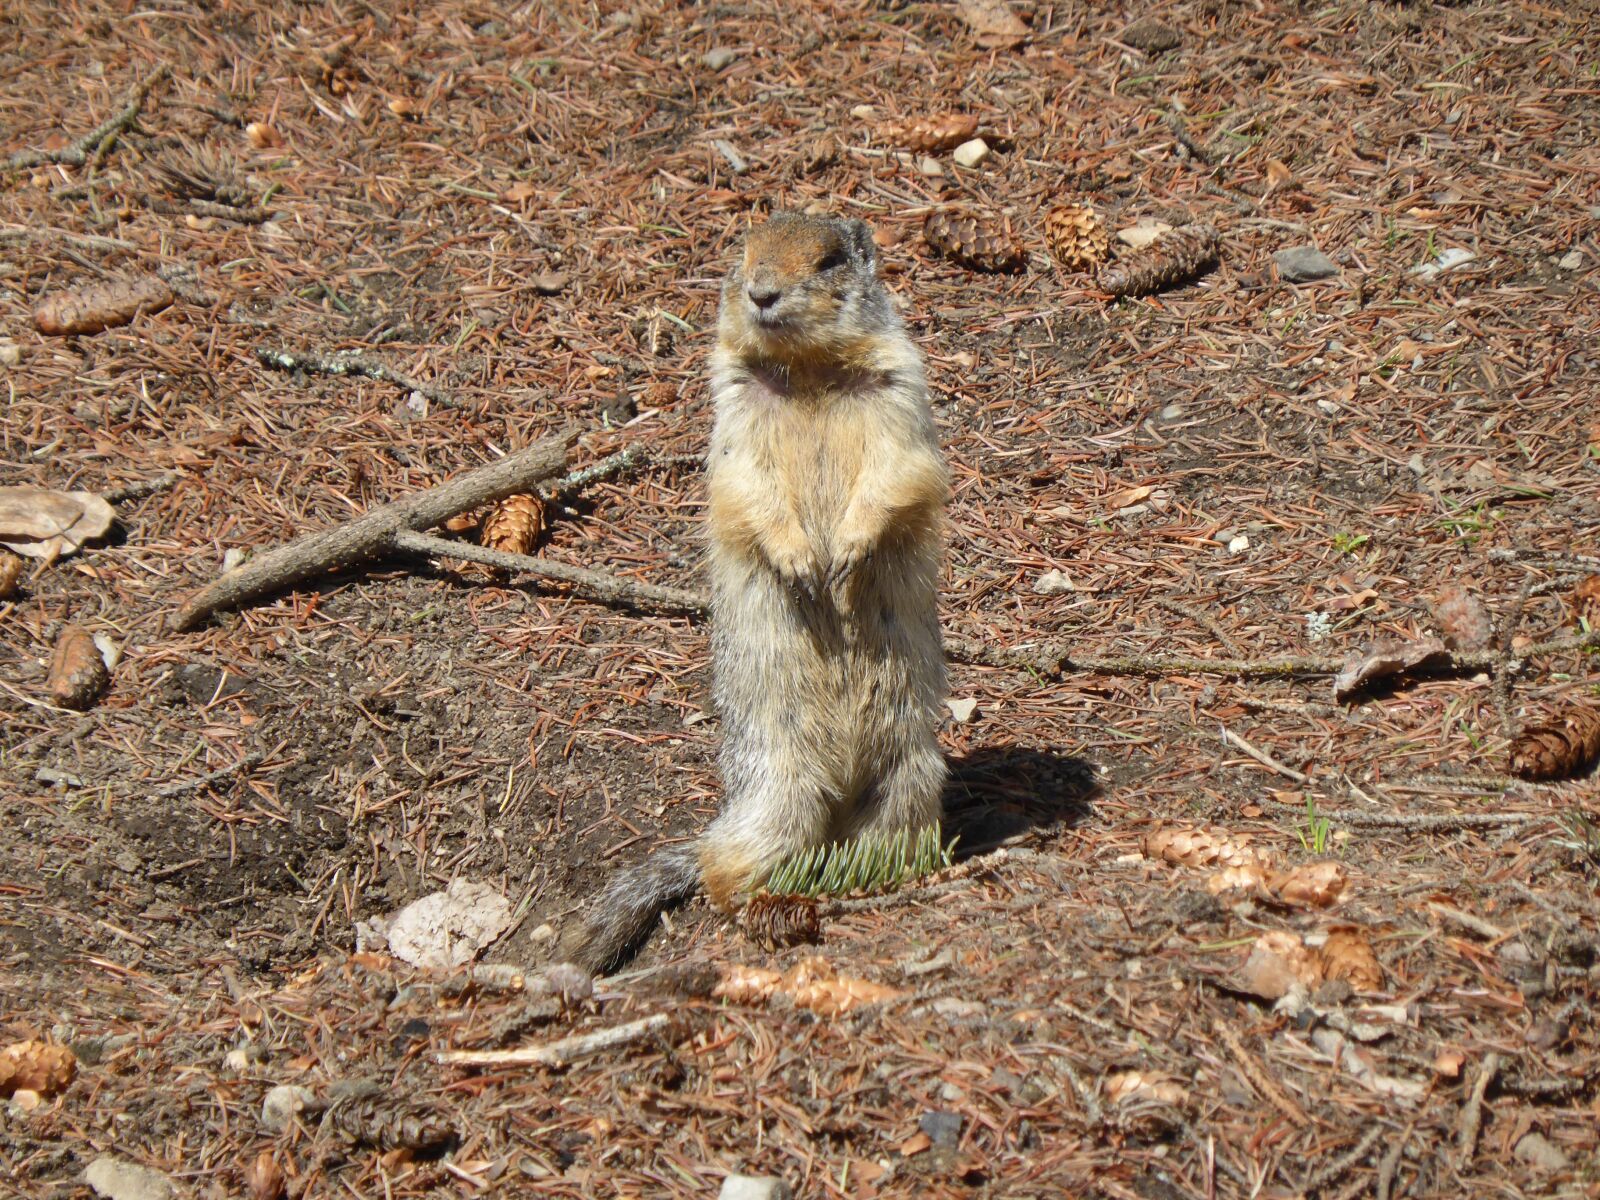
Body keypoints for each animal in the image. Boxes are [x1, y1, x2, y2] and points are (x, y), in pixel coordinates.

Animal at [561, 212, 950, 973]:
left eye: (828, 260)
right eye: (741, 255)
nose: (762, 293)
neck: (811, 373)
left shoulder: (901, 387)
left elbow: (899, 469)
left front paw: (848, 552)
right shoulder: (733, 409)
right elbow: (748, 488)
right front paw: (803, 562)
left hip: (910, 775)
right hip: (780, 791)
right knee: (720, 862)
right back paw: (758, 899)